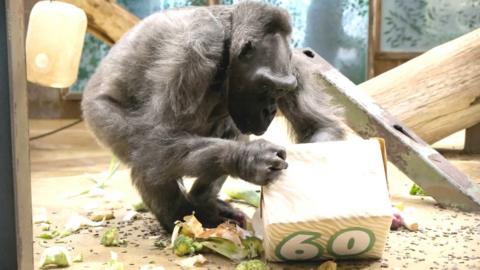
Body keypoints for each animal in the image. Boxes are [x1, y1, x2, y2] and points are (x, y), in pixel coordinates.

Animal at [83, 0, 344, 232]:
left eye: (281, 90)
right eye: (265, 87)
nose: (270, 110)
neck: (227, 42)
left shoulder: (294, 65)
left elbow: (318, 125)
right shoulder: (194, 50)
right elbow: (158, 135)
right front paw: (250, 158)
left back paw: (204, 202)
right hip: (99, 116)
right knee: (148, 154)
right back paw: (179, 218)